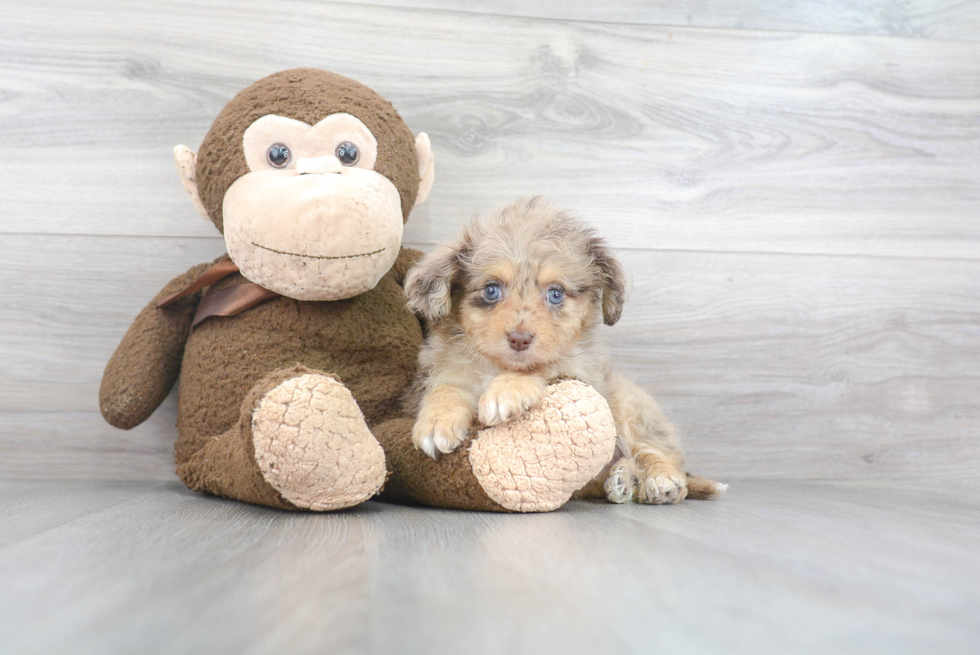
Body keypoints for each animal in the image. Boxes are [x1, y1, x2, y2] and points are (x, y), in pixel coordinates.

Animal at [400, 197, 728, 504]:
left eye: (555, 294)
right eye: (491, 290)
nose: (519, 339)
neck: (497, 366)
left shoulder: (582, 372)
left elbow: (546, 365)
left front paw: (506, 390)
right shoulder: (443, 370)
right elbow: (447, 387)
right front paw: (437, 421)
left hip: (630, 409)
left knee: (661, 454)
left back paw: (661, 481)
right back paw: (625, 480)